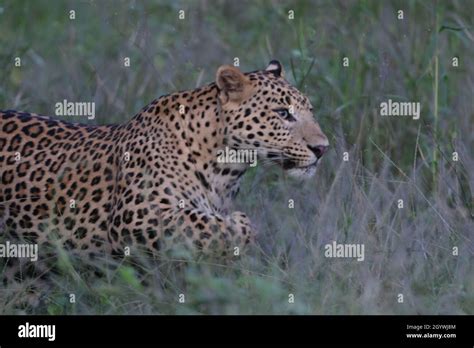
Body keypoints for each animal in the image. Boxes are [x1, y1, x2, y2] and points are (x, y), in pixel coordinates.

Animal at [0, 61, 328, 288]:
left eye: (310, 111)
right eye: (283, 114)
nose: (322, 148)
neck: (227, 169)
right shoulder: (137, 215)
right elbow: (216, 227)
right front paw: (239, 224)